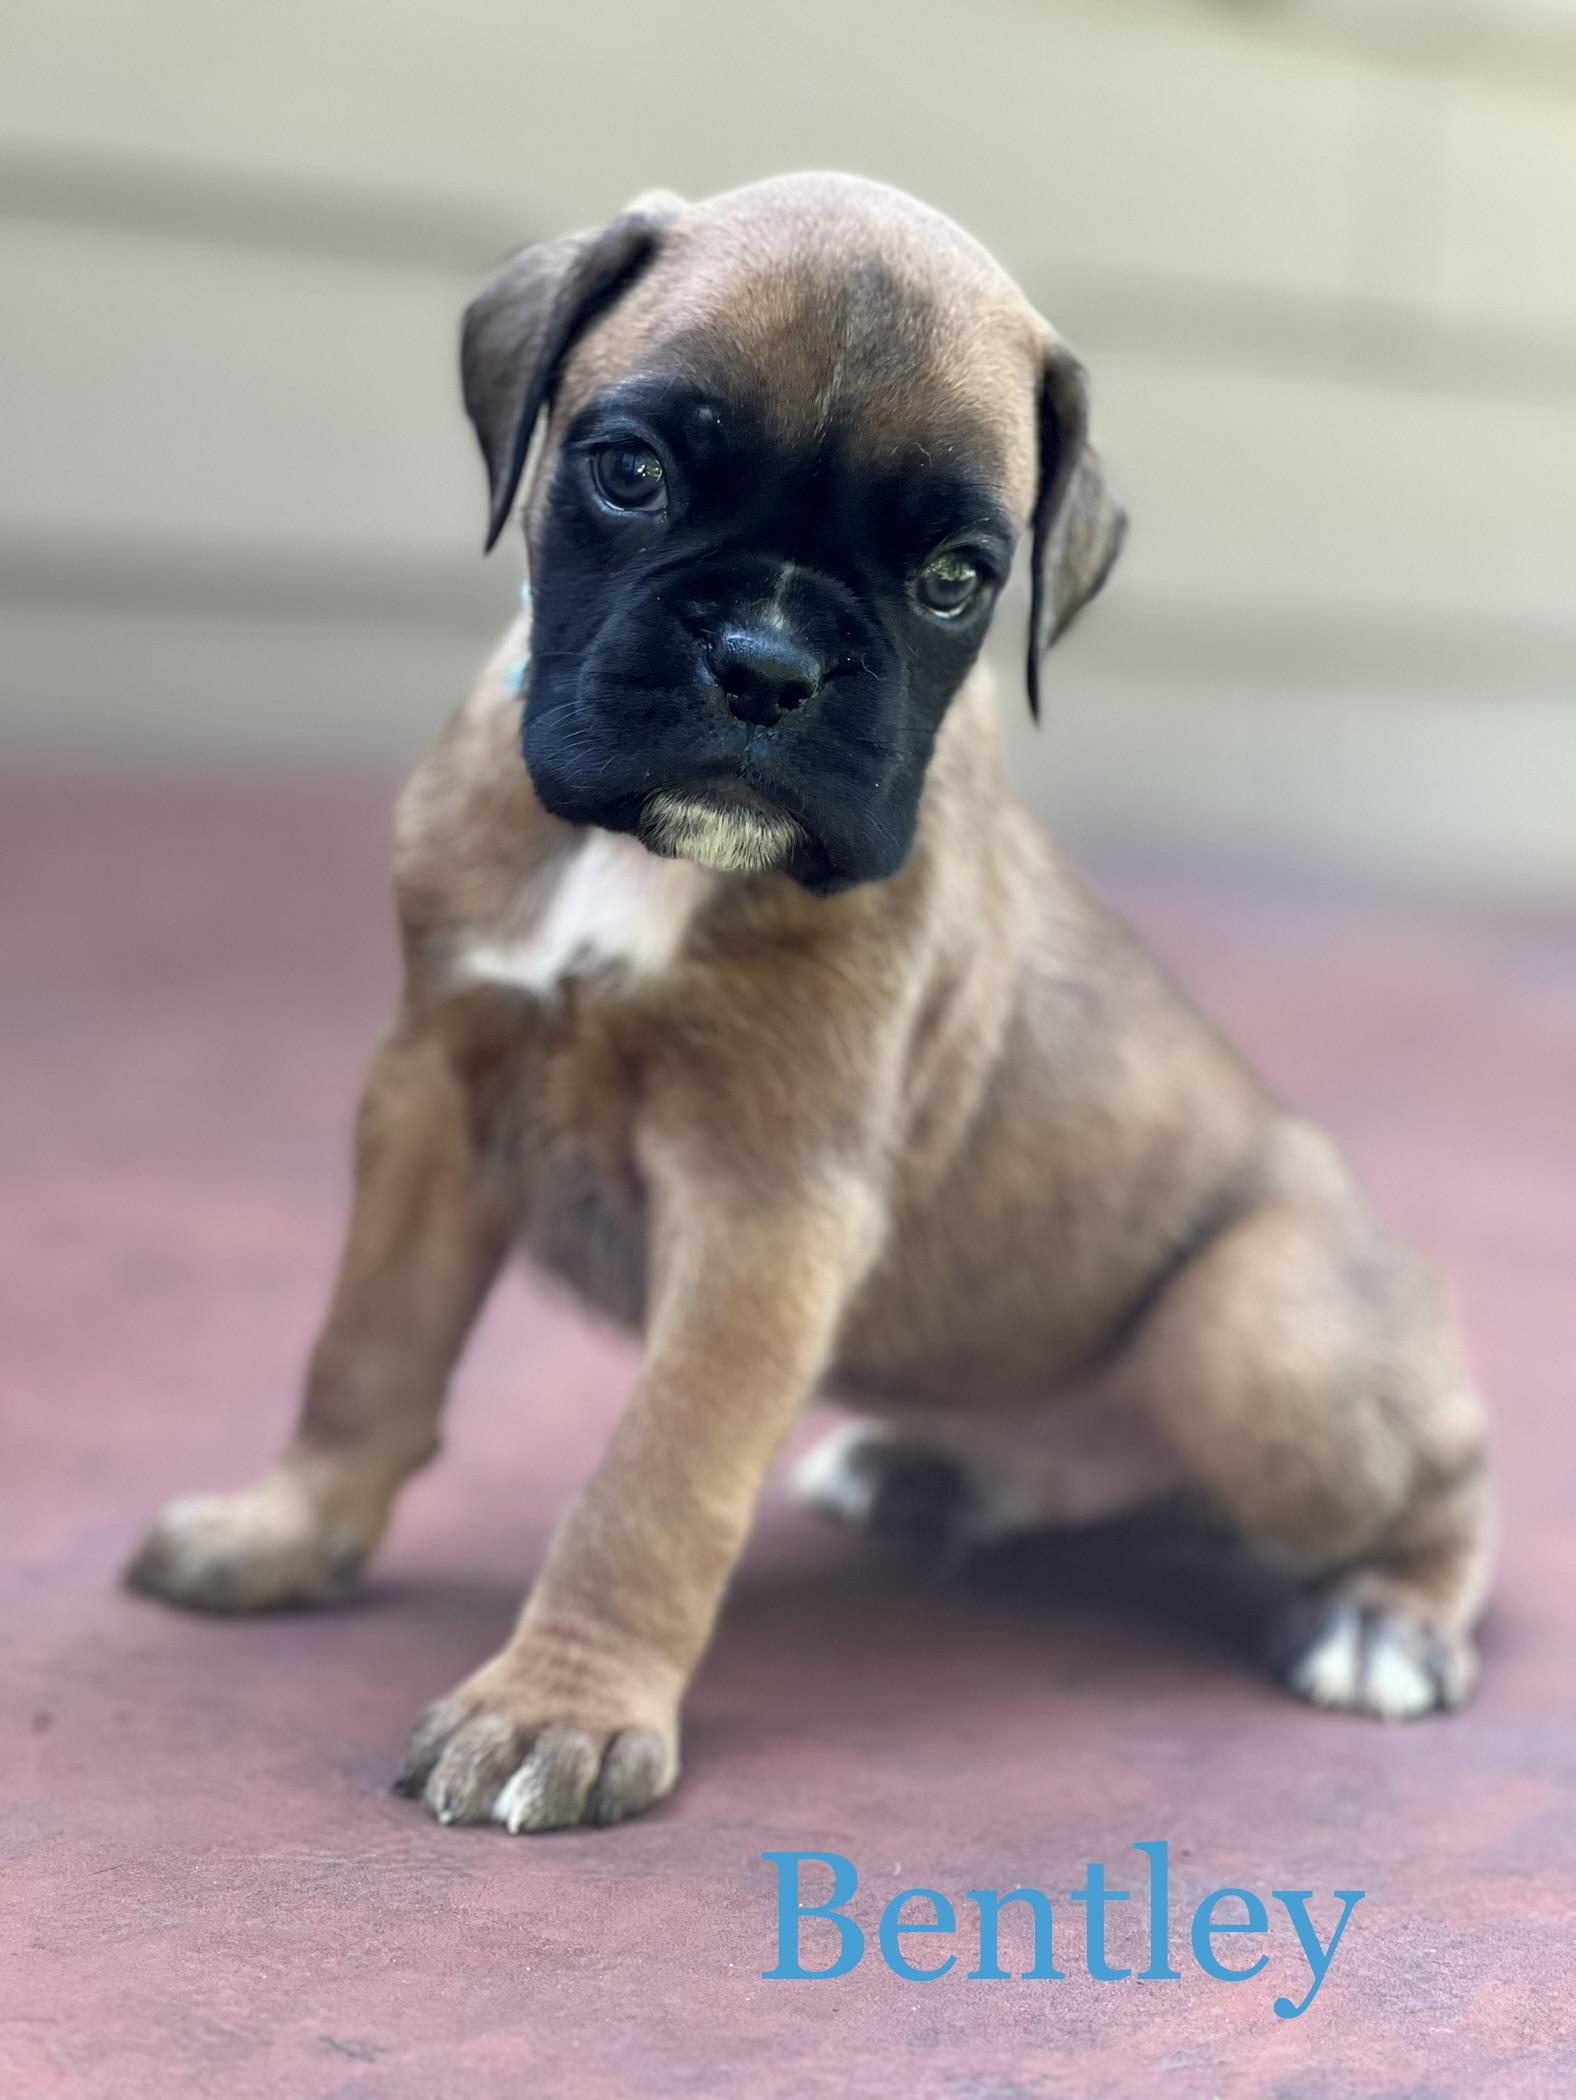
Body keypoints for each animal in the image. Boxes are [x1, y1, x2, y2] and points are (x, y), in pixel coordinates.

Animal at [127, 173, 1493, 1833]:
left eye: (958, 577)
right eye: (632, 473)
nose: (765, 663)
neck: (635, 860)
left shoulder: (764, 1210)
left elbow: (655, 1476)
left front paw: (557, 1707)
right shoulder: (432, 1102)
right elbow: (363, 1350)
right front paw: (285, 1530)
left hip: (1260, 1336)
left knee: (1451, 1470)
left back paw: (1385, 1619)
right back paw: (937, 1476)